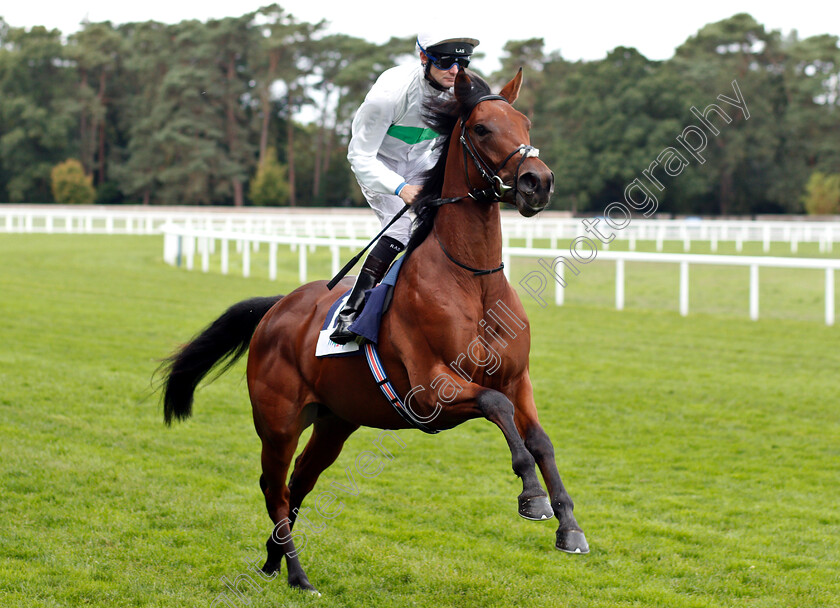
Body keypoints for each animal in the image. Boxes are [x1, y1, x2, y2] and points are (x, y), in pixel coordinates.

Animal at [161, 67, 588, 592]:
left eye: (525, 122)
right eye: (483, 128)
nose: (538, 181)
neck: (472, 280)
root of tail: (277, 308)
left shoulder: (516, 378)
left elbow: (540, 438)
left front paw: (569, 526)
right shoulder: (433, 389)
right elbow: (496, 406)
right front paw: (532, 497)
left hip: (334, 420)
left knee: (300, 481)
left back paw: (274, 559)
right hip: (278, 422)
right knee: (274, 487)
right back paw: (297, 572)